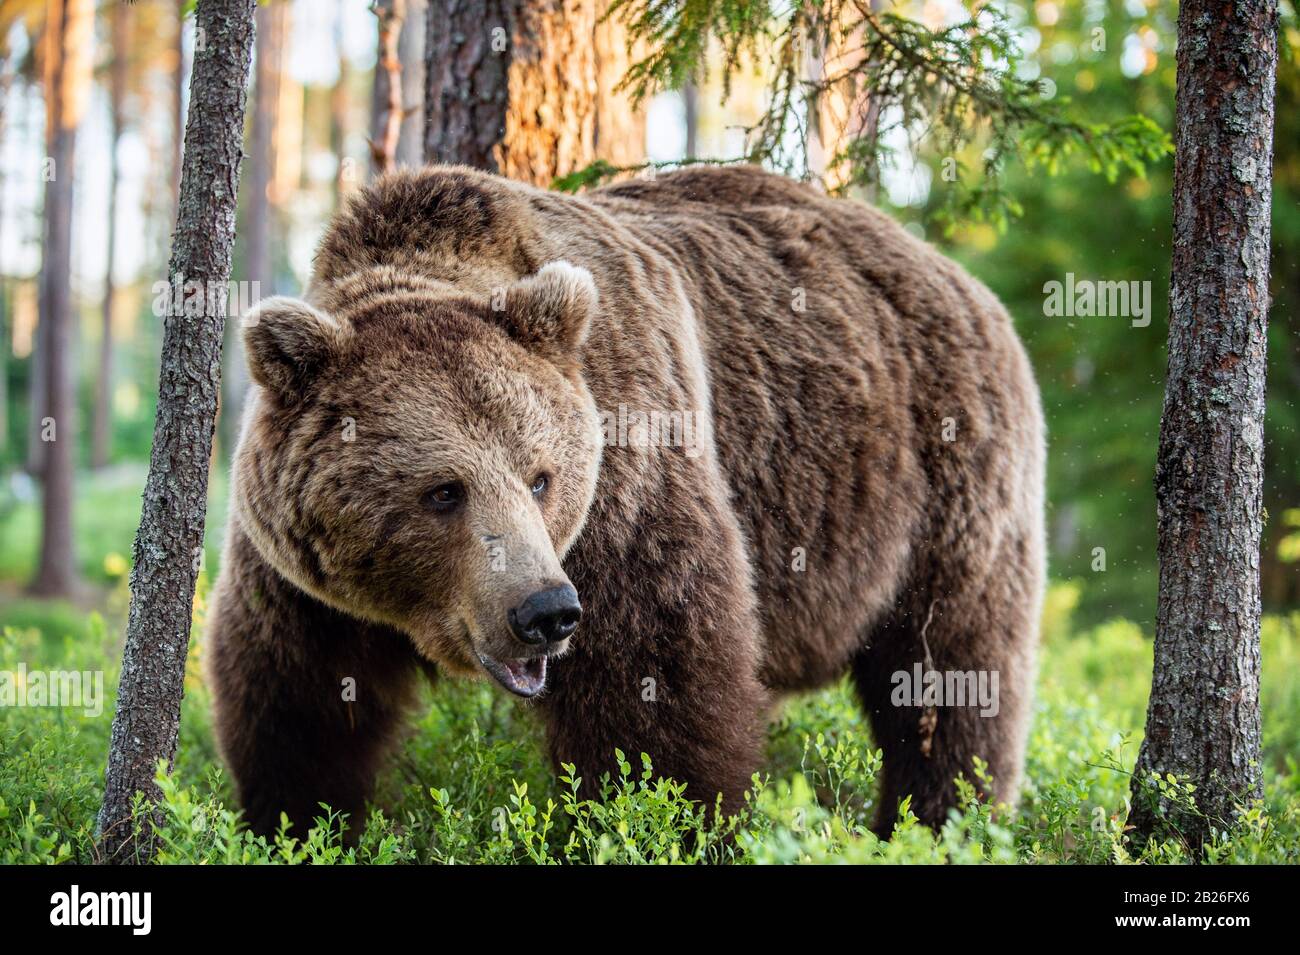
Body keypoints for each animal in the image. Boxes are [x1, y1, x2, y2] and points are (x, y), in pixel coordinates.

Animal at [210, 164, 1045, 836]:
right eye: (444, 490)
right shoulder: (297, 574)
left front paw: (661, 820)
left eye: (541, 476)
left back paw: (942, 819)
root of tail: (963, 278)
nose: (543, 610)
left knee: (948, 675)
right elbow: (297, 704)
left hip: (940, 473)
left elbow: (659, 693)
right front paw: (298, 821)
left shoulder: (627, 479)